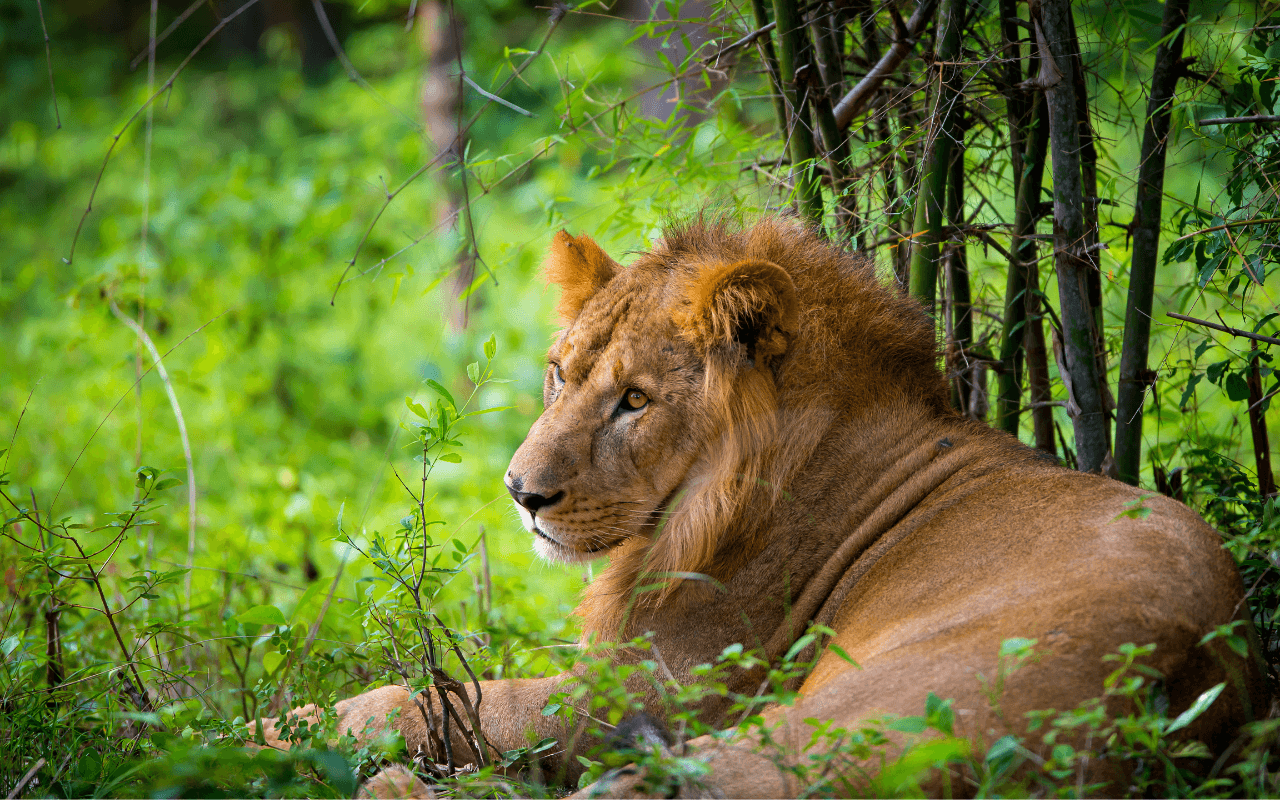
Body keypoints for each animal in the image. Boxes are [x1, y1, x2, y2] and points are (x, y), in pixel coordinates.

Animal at [254, 215, 1264, 793]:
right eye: (560, 374)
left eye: (635, 401)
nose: (521, 494)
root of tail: (1172, 692)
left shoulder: (654, 689)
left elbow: (435, 701)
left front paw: (270, 732)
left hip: (845, 715)